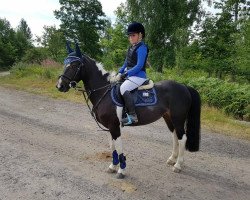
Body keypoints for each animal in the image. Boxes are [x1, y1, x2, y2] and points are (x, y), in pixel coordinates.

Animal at [56, 41, 201, 178]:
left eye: (75, 65)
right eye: (65, 63)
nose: (60, 86)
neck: (104, 91)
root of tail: (184, 86)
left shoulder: (115, 126)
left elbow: (119, 148)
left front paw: (121, 170)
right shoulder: (109, 127)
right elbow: (113, 148)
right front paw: (112, 167)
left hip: (178, 119)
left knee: (182, 138)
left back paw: (178, 165)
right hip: (168, 118)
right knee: (175, 136)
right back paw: (172, 159)